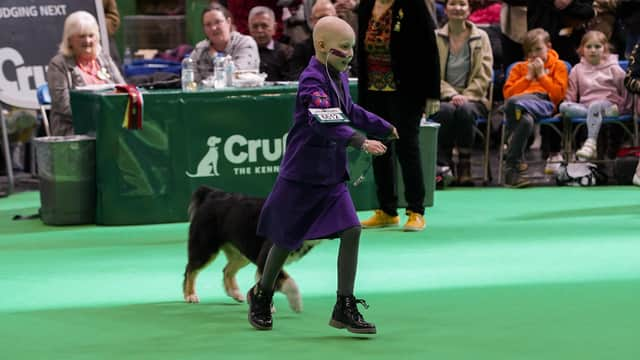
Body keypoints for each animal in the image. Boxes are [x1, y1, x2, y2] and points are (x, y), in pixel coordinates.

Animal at [181, 186, 320, 312]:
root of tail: (213, 194)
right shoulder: (267, 257)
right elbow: (286, 281)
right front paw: (295, 302)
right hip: (205, 248)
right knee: (190, 270)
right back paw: (190, 295)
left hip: (241, 253)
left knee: (227, 270)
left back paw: (235, 293)